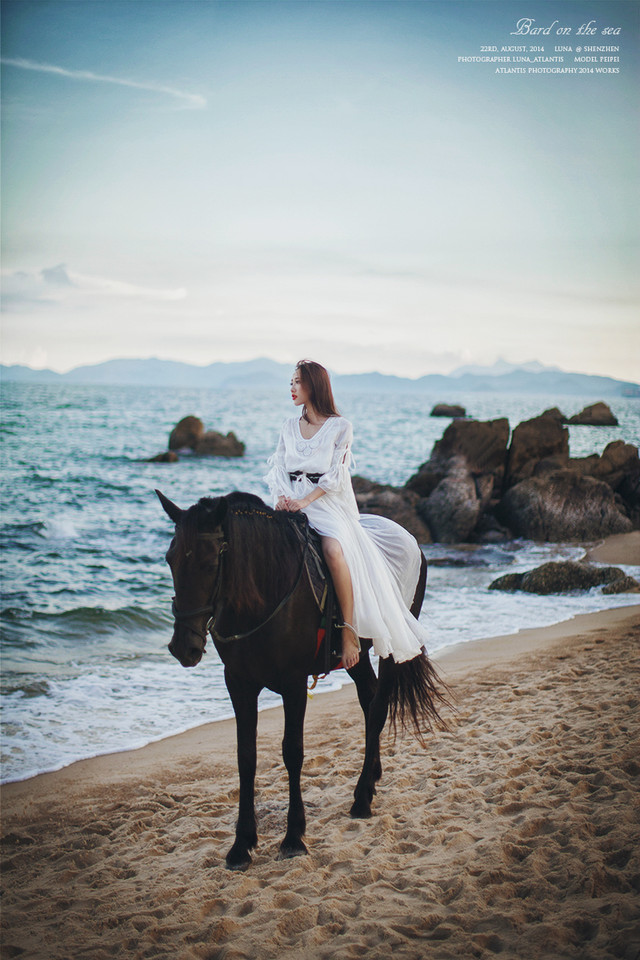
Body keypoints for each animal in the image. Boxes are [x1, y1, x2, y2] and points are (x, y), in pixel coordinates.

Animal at [157, 489, 447, 870]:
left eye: (209, 564)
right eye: (170, 560)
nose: (183, 647)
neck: (263, 591)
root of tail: (410, 538)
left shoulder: (293, 683)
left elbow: (292, 752)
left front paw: (294, 837)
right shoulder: (238, 683)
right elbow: (246, 757)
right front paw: (241, 844)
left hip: (391, 647)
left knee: (379, 707)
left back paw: (361, 799)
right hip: (355, 657)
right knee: (369, 701)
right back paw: (370, 780)